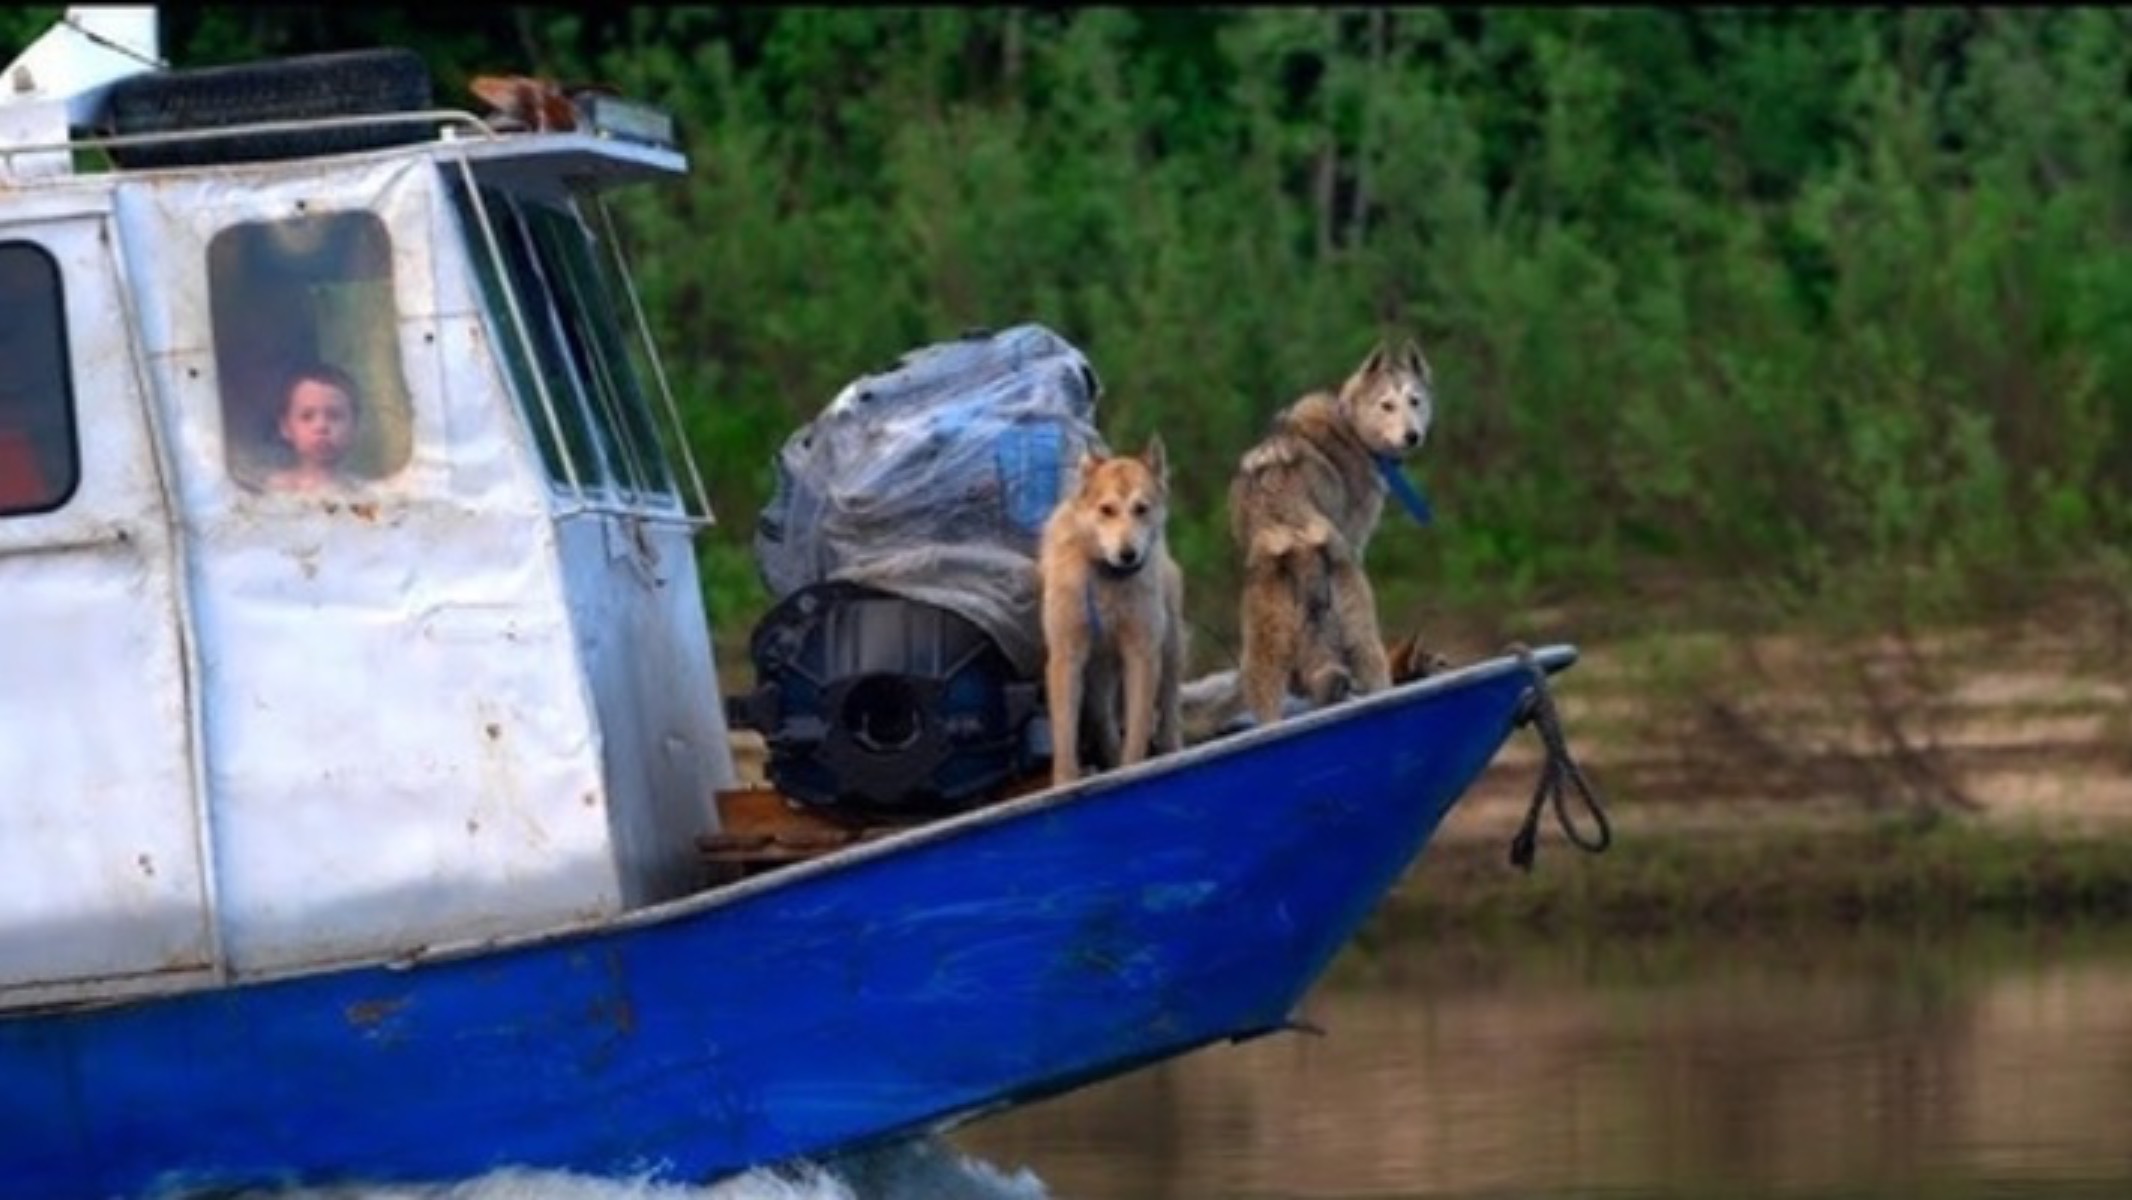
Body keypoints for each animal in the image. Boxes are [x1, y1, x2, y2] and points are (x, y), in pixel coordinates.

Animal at [1040, 436, 1193, 784]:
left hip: (1170, 647)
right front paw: (1065, 782)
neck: (1106, 578)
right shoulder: (1067, 656)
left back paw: (1169, 747)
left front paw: (1133, 770)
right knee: (1103, 720)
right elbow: (1064, 734)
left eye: (1141, 509)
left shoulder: (1142, 653)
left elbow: (1137, 731)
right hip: (1098, 677)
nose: (1128, 554)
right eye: (1106, 510)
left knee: (1168, 706)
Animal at [1236, 343, 1432, 728]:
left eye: (1414, 401)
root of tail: (1294, 535)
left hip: (1259, 664)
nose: (1412, 436)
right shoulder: (1356, 542)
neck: (1350, 425)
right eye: (1387, 405)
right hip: (1363, 634)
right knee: (1380, 684)